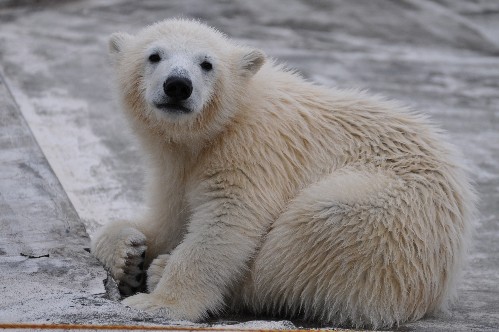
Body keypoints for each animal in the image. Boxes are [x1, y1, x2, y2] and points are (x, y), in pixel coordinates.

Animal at [90, 19, 476, 328]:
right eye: (154, 56)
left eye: (207, 63)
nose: (178, 86)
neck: (220, 125)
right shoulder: (175, 165)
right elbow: (169, 218)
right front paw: (128, 254)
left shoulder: (254, 148)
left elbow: (225, 223)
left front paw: (158, 302)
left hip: (394, 218)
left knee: (315, 227)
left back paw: (165, 272)